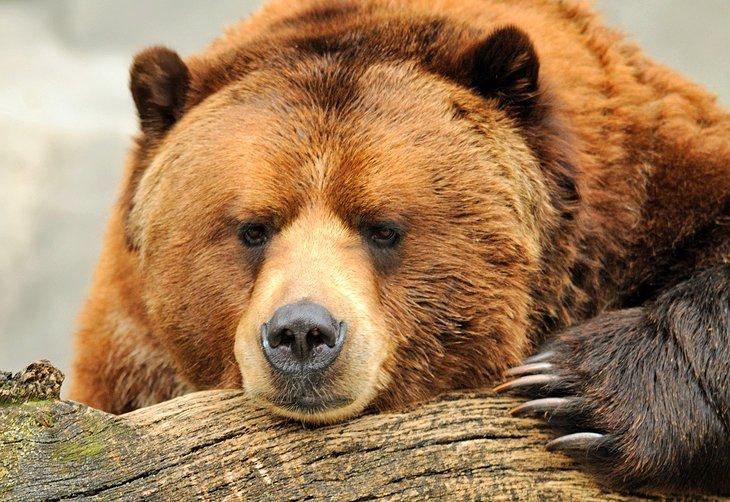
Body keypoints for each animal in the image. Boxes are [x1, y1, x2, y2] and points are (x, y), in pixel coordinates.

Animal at [69, 0, 729, 494]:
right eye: (253, 228)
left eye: (382, 227)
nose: (302, 333)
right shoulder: (127, 356)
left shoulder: (648, 191)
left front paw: (574, 391)